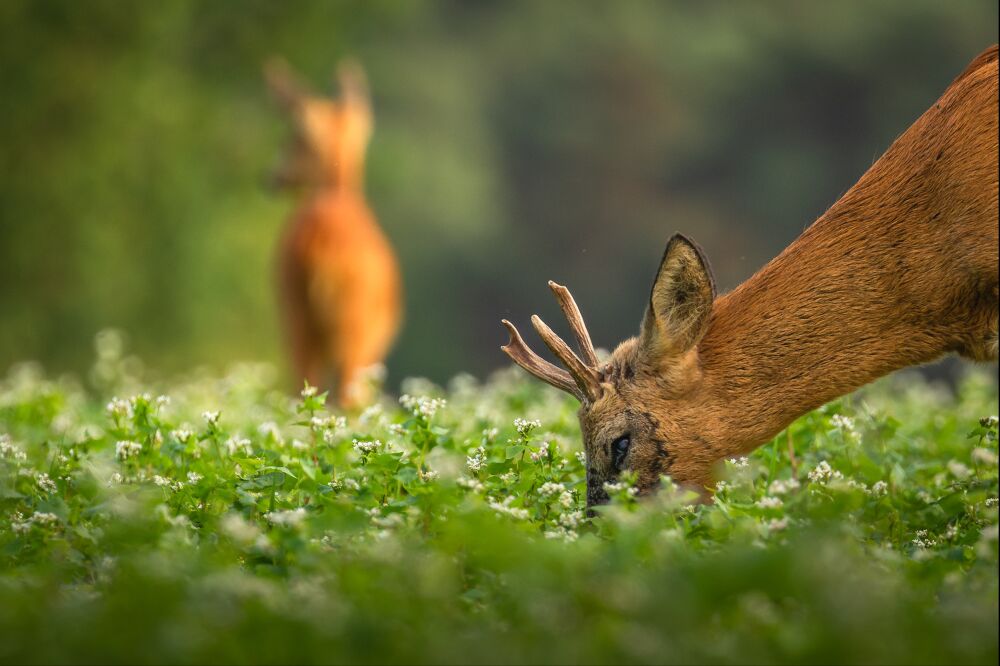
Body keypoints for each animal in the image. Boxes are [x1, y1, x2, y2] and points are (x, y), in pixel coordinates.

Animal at [268, 57, 404, 408]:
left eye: (291, 139)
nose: (271, 178)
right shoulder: (374, 339)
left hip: (296, 318)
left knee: (306, 390)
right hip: (354, 328)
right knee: (347, 398)